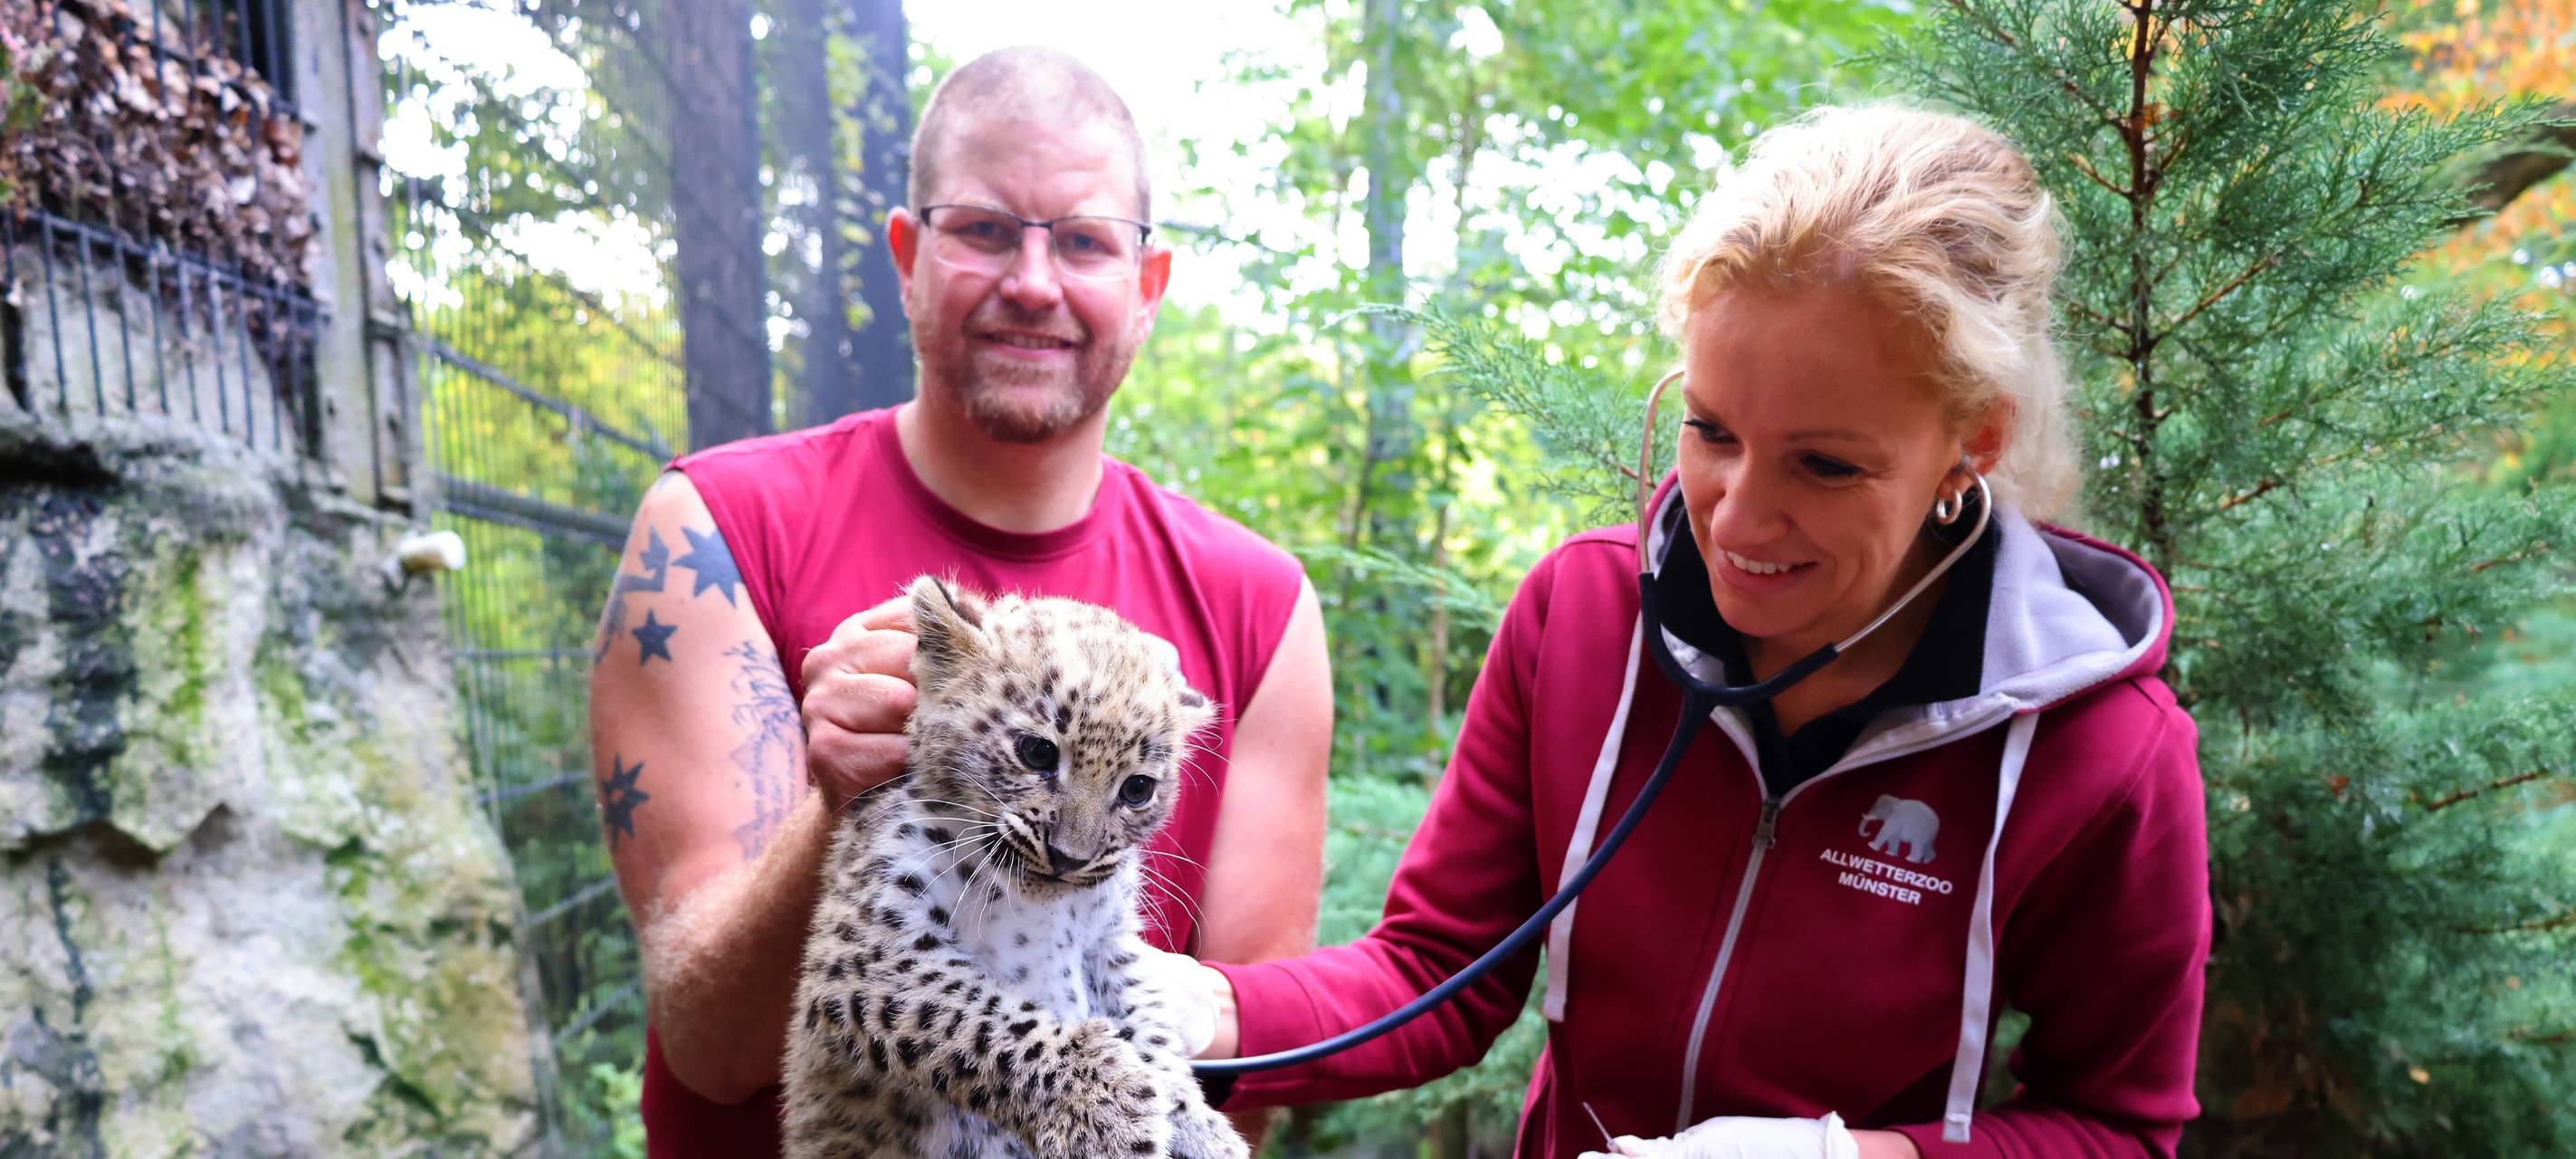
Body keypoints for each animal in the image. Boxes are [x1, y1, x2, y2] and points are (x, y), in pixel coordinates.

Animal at [781, 575, 1248, 1159]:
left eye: (1137, 789)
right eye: (1037, 753)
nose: (1070, 858)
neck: (1040, 905)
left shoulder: (1110, 944)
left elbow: (1151, 1023)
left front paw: (1196, 1123)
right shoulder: (867, 952)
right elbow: (981, 1019)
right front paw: (1103, 1105)